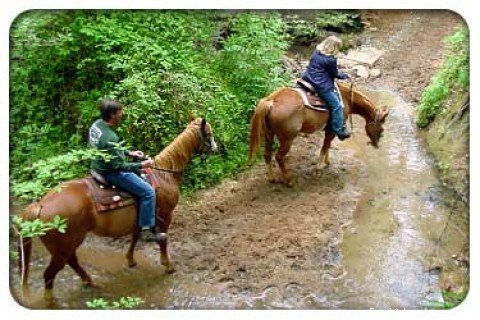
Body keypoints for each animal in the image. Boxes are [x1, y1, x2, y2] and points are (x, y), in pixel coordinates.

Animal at [17, 117, 218, 300]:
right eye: (208, 133)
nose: (216, 147)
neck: (164, 175)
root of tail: (40, 205)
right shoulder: (164, 215)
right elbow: (162, 240)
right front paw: (168, 265)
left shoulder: (141, 214)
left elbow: (136, 236)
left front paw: (130, 260)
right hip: (63, 246)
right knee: (50, 274)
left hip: (66, 245)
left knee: (71, 262)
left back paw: (90, 282)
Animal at [249, 82, 388, 188]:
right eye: (382, 129)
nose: (376, 144)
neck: (346, 98)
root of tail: (271, 100)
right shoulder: (332, 130)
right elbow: (324, 147)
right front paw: (318, 169)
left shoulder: (329, 130)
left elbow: (327, 146)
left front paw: (326, 161)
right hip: (287, 139)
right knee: (279, 157)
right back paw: (289, 180)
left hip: (269, 134)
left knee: (267, 154)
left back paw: (272, 178)